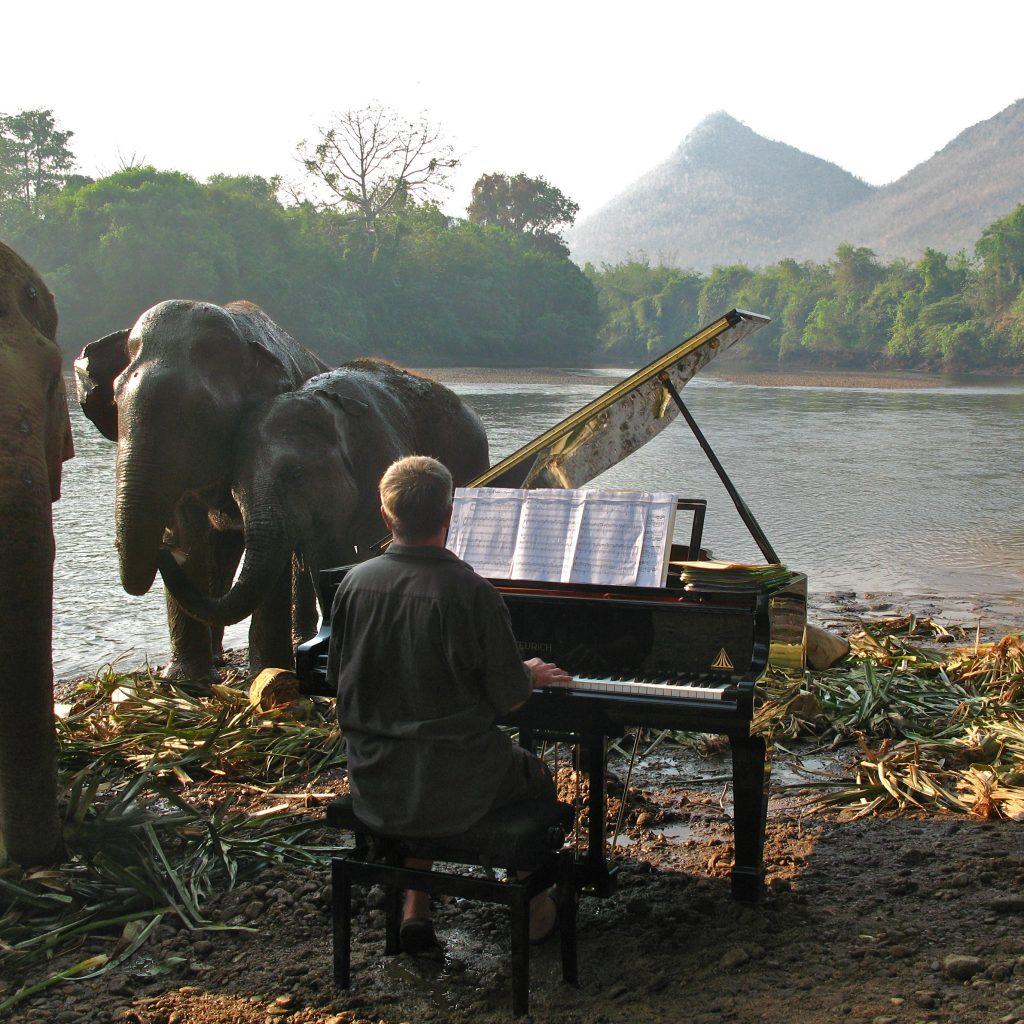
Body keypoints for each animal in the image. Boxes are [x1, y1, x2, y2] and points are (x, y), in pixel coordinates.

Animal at [76, 299, 331, 679]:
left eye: (202, 412)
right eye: (116, 402)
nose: (164, 549)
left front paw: (268, 673)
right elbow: (192, 535)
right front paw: (187, 681)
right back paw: (215, 658)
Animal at [156, 360, 491, 630]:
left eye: (296, 475)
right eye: (234, 487)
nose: (167, 545)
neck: (322, 404)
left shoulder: (377, 458)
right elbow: (322, 563)